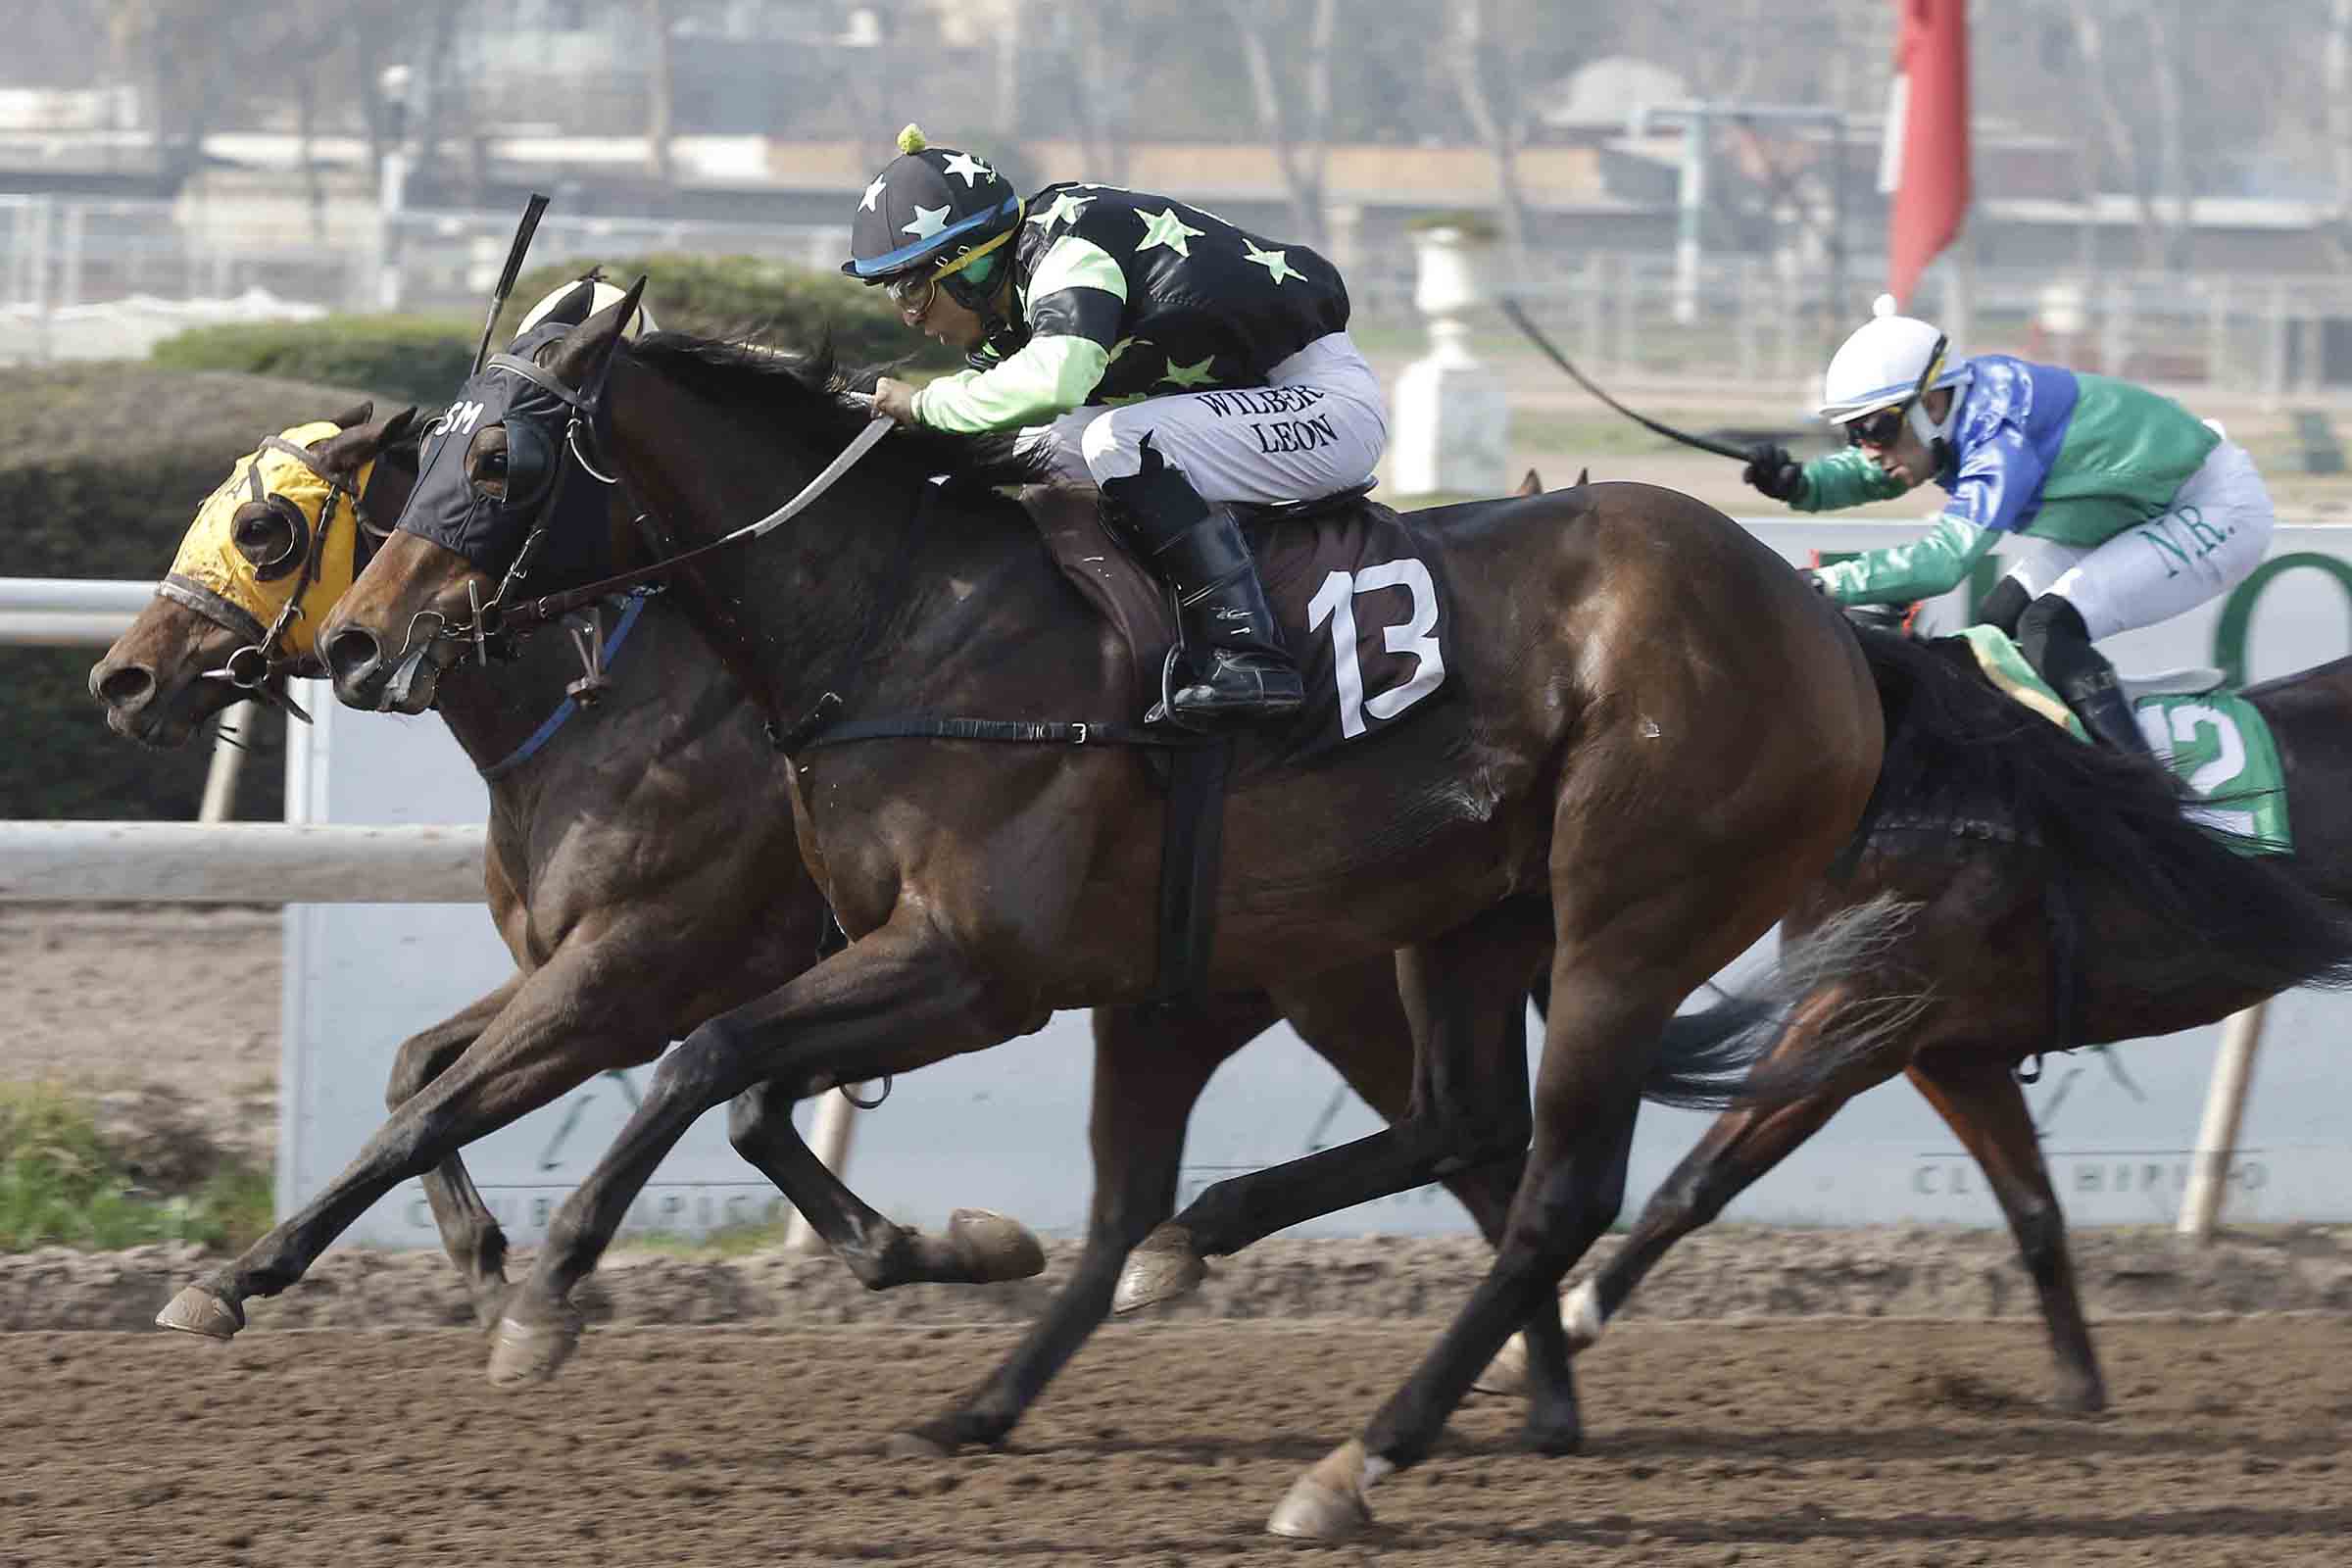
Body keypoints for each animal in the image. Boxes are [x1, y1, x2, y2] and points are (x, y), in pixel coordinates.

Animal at [92, 385, 1707, 1461]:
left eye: (266, 525)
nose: (123, 678)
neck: (624, 698)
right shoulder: (593, 963)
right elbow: (428, 1071)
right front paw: (494, 1258)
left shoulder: (642, 968)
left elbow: (462, 1103)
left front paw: (243, 1281)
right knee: (1472, 1145)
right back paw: (1519, 1392)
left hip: (1346, 973)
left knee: (1489, 1154)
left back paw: (1526, 1388)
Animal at [313, 284, 1888, 1534]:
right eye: (427, 454)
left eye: (501, 457)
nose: (360, 640)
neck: (899, 619)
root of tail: (1819, 621)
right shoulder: (915, 963)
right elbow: (692, 1086)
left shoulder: (947, 967)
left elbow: (689, 1067)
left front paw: (539, 1299)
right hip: (1448, 926)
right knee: (1436, 1133)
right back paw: (1167, 1311)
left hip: (1629, 917)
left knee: (1553, 1190)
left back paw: (1362, 1457)